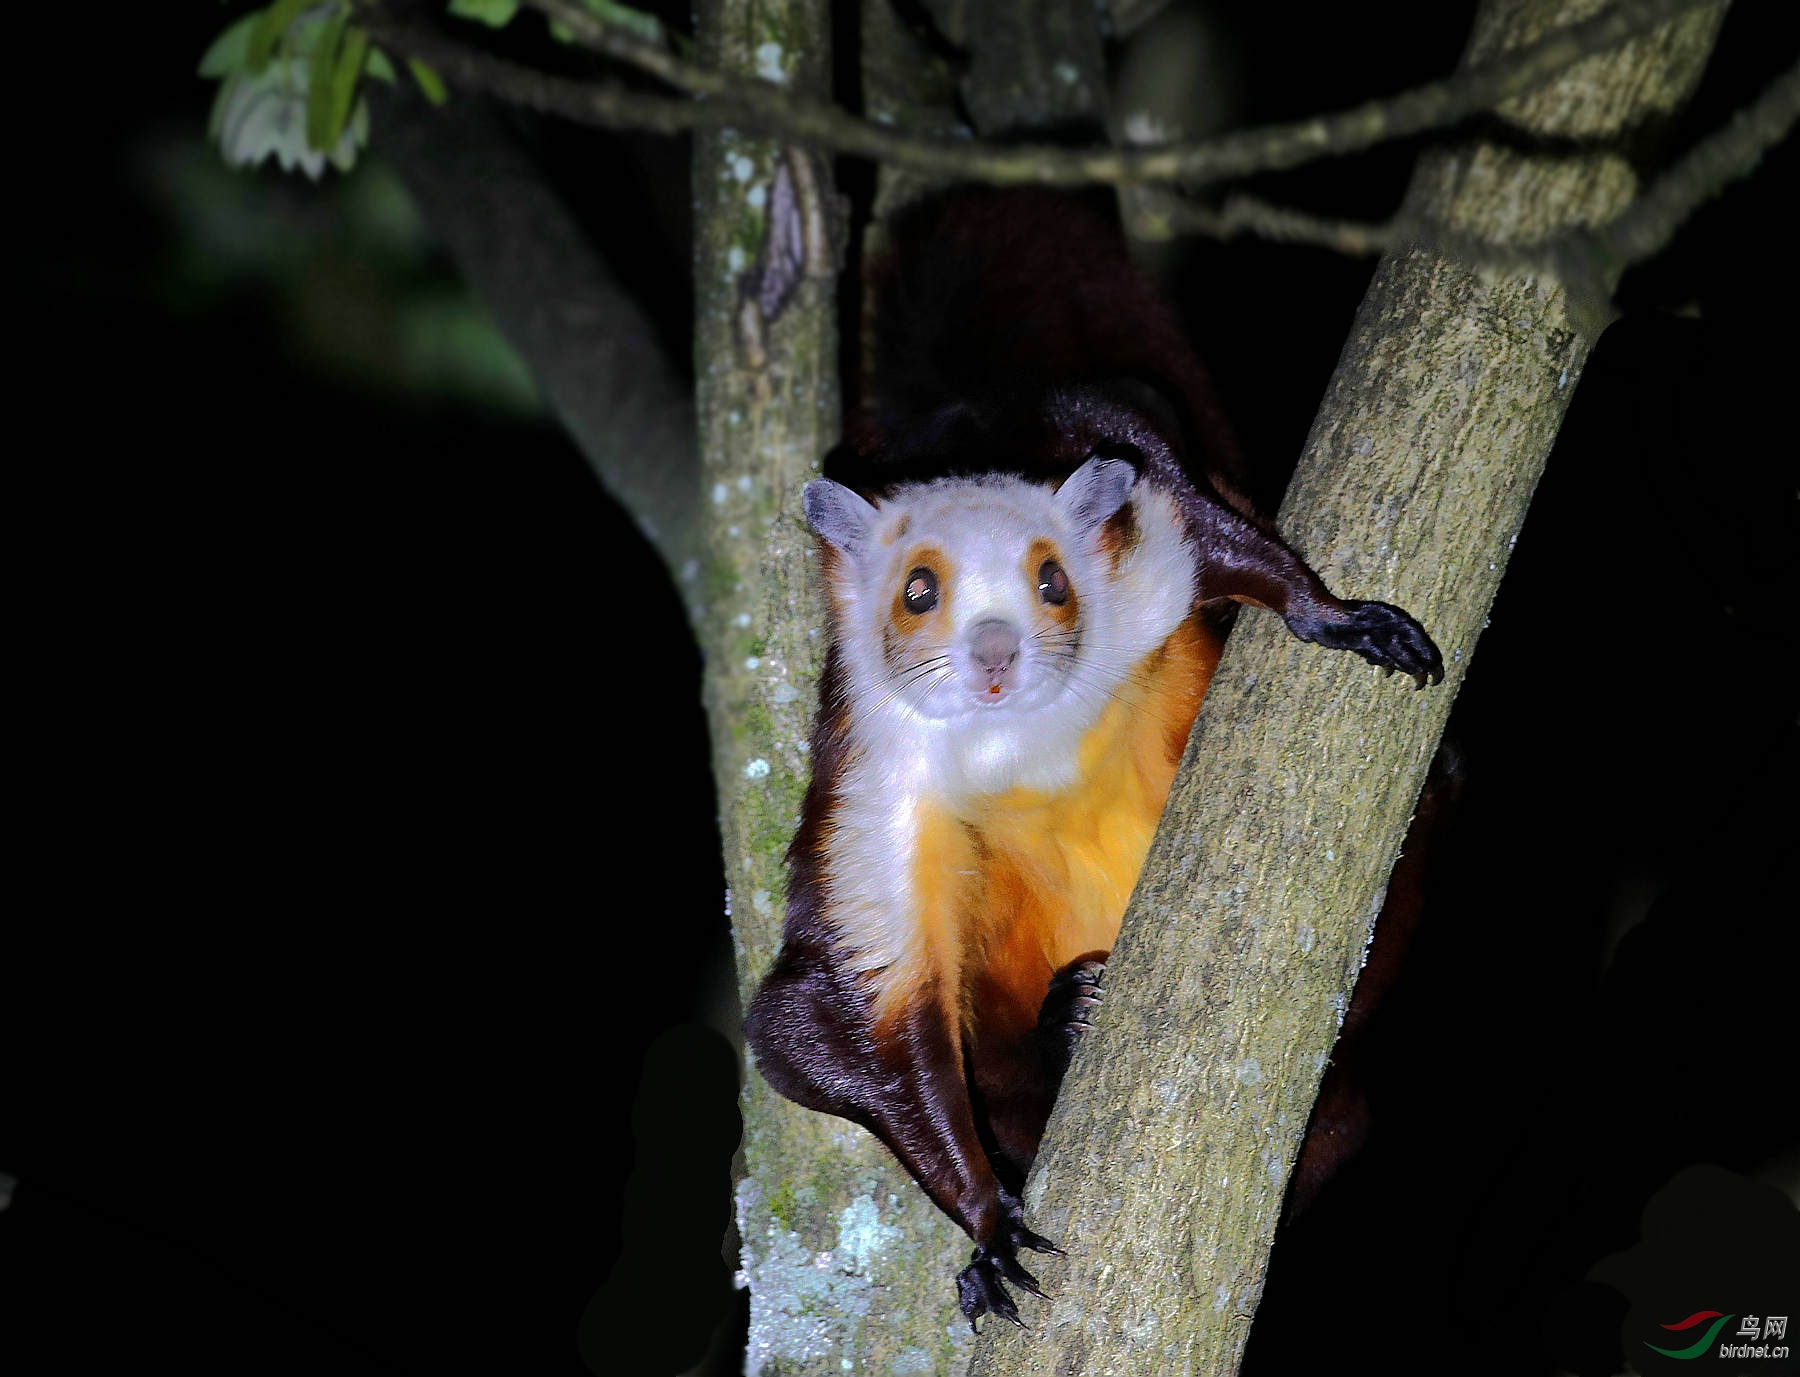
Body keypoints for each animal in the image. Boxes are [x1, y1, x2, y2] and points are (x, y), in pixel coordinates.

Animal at [738, 188, 1440, 1324]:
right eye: (919, 591)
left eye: (1050, 582)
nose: (995, 652)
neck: (1031, 741)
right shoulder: (882, 787)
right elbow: (820, 1023)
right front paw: (987, 1223)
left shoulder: (1116, 499)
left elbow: (1187, 507)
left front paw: (1330, 614)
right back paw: (1067, 1023)